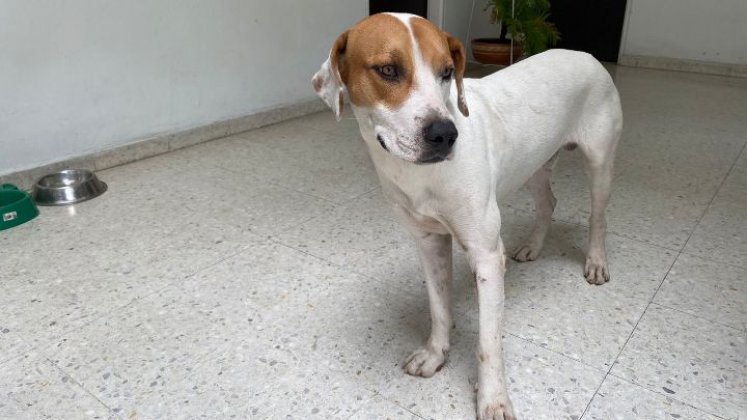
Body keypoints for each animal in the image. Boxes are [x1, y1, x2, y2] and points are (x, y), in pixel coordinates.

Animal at [312, 11, 624, 418]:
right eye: (388, 70)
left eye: (447, 72)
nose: (445, 134)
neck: (419, 176)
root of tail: (584, 54)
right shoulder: (429, 242)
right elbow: (439, 309)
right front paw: (435, 354)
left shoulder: (486, 256)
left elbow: (488, 343)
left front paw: (493, 400)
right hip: (535, 167)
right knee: (548, 203)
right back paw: (533, 246)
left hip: (600, 164)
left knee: (598, 218)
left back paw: (596, 262)